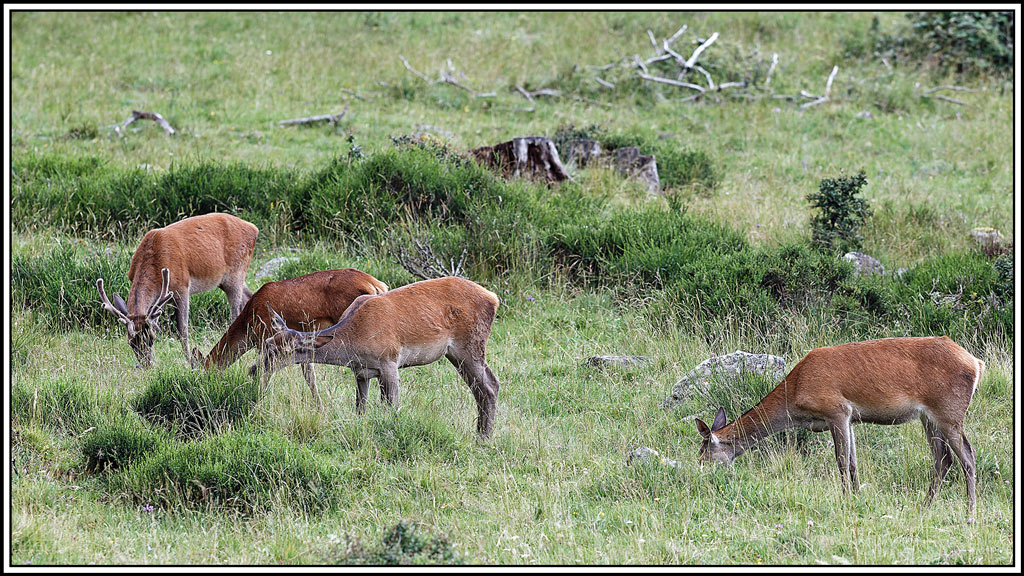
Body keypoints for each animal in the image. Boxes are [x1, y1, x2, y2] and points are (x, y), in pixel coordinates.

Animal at [97, 212, 259, 368]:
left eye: (151, 339)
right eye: (131, 342)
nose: (147, 364)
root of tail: (254, 228)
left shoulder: (182, 287)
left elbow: (183, 330)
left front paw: (191, 361)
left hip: (236, 272)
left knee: (236, 313)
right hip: (226, 281)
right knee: (249, 296)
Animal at [192, 268, 389, 406]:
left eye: (204, 374)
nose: (201, 389)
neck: (249, 325)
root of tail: (377, 285)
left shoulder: (266, 338)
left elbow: (265, 373)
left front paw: (257, 399)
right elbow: (309, 375)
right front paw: (320, 407)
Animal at [257, 276, 501, 438]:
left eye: (280, 351)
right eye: (267, 344)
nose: (254, 370)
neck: (355, 341)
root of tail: (494, 298)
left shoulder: (389, 362)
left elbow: (391, 406)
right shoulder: (361, 372)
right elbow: (360, 408)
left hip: (470, 346)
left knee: (490, 385)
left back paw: (484, 437)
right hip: (455, 354)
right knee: (479, 388)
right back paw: (480, 432)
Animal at [695, 336, 984, 519]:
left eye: (704, 454)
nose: (700, 475)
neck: (796, 395)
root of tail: (976, 363)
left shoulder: (836, 410)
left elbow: (842, 461)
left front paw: (846, 500)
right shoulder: (851, 418)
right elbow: (854, 462)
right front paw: (858, 499)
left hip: (949, 410)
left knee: (968, 455)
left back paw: (970, 513)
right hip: (928, 417)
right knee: (943, 458)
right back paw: (925, 507)